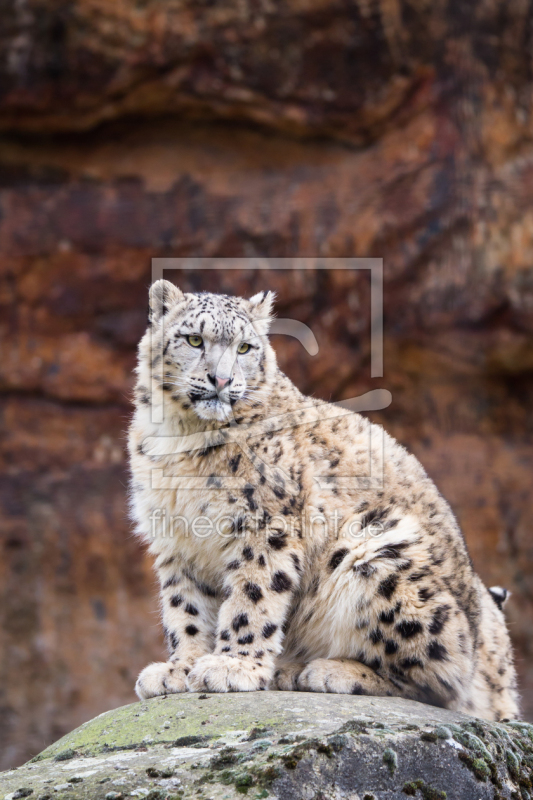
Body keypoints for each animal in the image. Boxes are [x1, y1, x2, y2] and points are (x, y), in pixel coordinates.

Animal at [127, 280, 516, 720]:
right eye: (194, 339)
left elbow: (253, 594)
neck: (181, 437)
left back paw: (325, 670)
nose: (222, 380)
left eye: (244, 347)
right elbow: (185, 606)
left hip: (379, 553)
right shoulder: (176, 538)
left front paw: (232, 666)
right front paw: (181, 668)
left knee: (438, 683)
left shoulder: (267, 524)